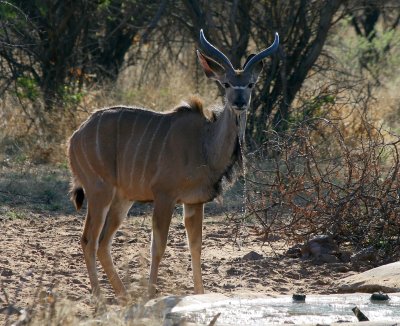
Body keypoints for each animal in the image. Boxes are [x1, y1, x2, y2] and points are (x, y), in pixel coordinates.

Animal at [69, 29, 280, 300]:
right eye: (226, 84)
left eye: (251, 84)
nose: (240, 102)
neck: (204, 143)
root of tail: (75, 136)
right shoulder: (164, 196)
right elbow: (158, 246)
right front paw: (151, 294)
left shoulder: (194, 202)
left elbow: (196, 247)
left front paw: (200, 294)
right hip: (99, 192)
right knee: (89, 240)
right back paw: (100, 299)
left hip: (122, 199)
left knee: (104, 242)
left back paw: (124, 297)